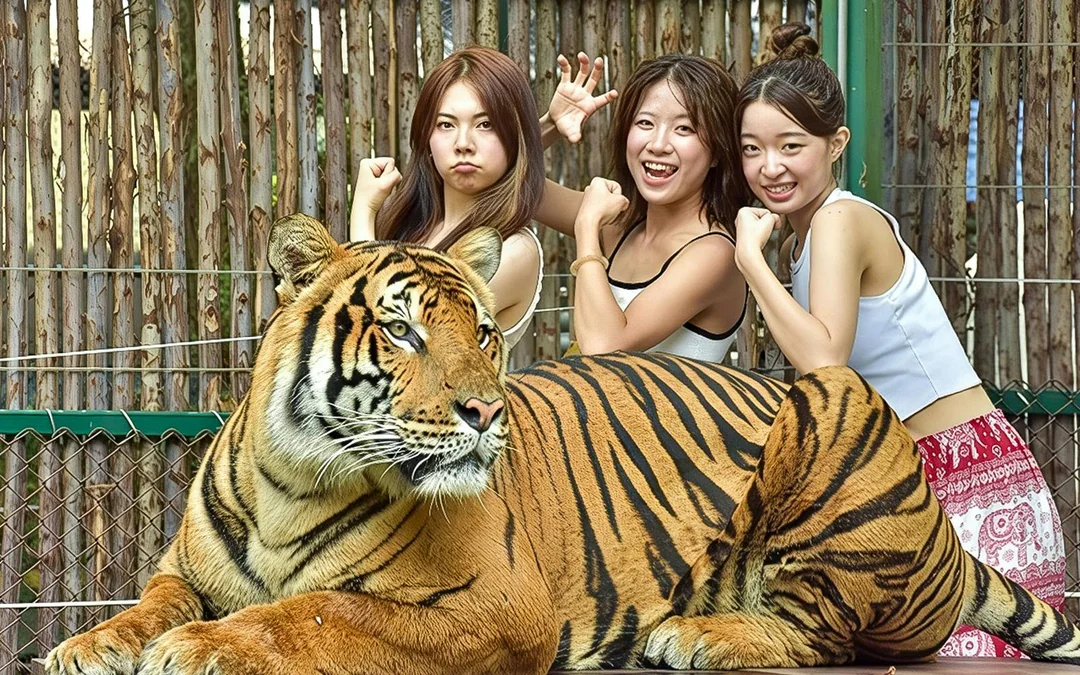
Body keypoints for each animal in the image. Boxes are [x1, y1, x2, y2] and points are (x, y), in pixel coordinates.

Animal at [44, 214, 1080, 675]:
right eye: (403, 332)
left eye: (484, 332)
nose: (482, 411)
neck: (292, 477)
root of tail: (945, 537)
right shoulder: (182, 569)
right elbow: (147, 603)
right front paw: (87, 645)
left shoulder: (490, 602)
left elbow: (318, 612)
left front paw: (203, 646)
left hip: (836, 405)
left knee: (824, 631)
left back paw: (698, 631)